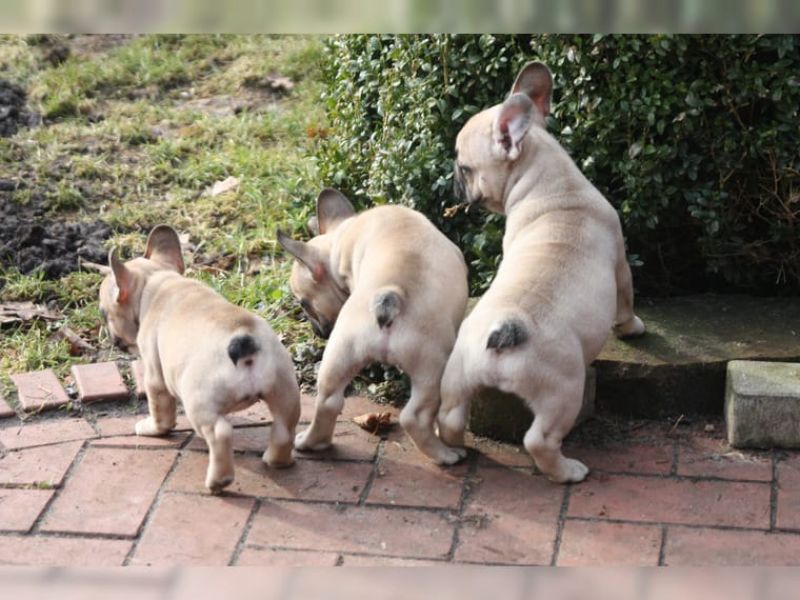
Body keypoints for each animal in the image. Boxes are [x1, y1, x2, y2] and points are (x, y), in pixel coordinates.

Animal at [98, 225, 301, 493]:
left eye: (103, 312)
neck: (156, 281)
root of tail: (244, 341)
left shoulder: (155, 376)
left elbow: (160, 410)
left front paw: (153, 429)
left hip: (198, 400)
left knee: (220, 433)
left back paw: (218, 481)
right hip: (283, 386)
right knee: (284, 427)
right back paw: (277, 460)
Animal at [277, 188, 469, 465]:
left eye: (304, 304)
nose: (317, 332)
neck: (340, 236)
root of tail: (389, 298)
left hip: (342, 350)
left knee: (328, 401)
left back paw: (312, 443)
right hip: (432, 364)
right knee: (417, 416)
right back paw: (446, 454)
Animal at [437, 62, 646, 483]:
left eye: (464, 167)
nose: (452, 180)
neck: (550, 180)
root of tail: (502, 330)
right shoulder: (620, 260)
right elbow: (626, 300)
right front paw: (632, 329)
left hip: (459, 370)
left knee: (450, 417)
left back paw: (457, 447)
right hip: (563, 390)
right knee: (540, 440)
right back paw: (568, 471)